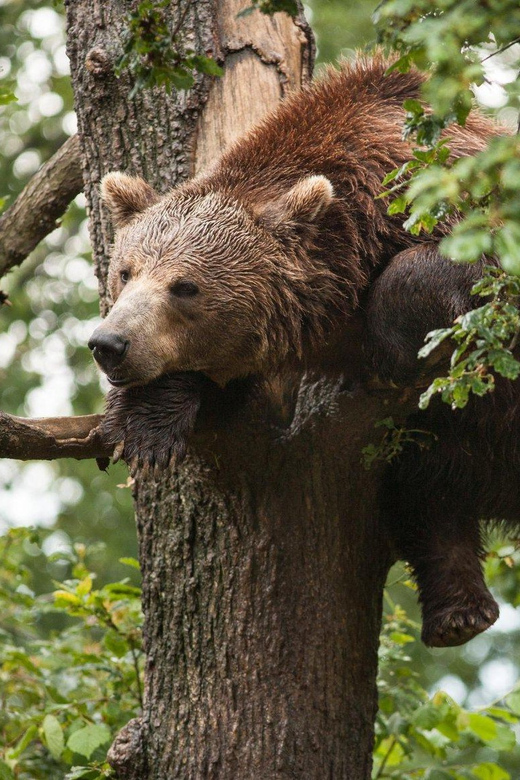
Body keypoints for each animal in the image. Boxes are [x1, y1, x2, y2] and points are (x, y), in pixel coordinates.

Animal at [88, 53, 515, 648]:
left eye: (185, 286)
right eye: (125, 271)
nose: (110, 343)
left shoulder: (452, 201)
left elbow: (449, 276)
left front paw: (395, 348)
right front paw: (144, 421)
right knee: (428, 495)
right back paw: (459, 613)